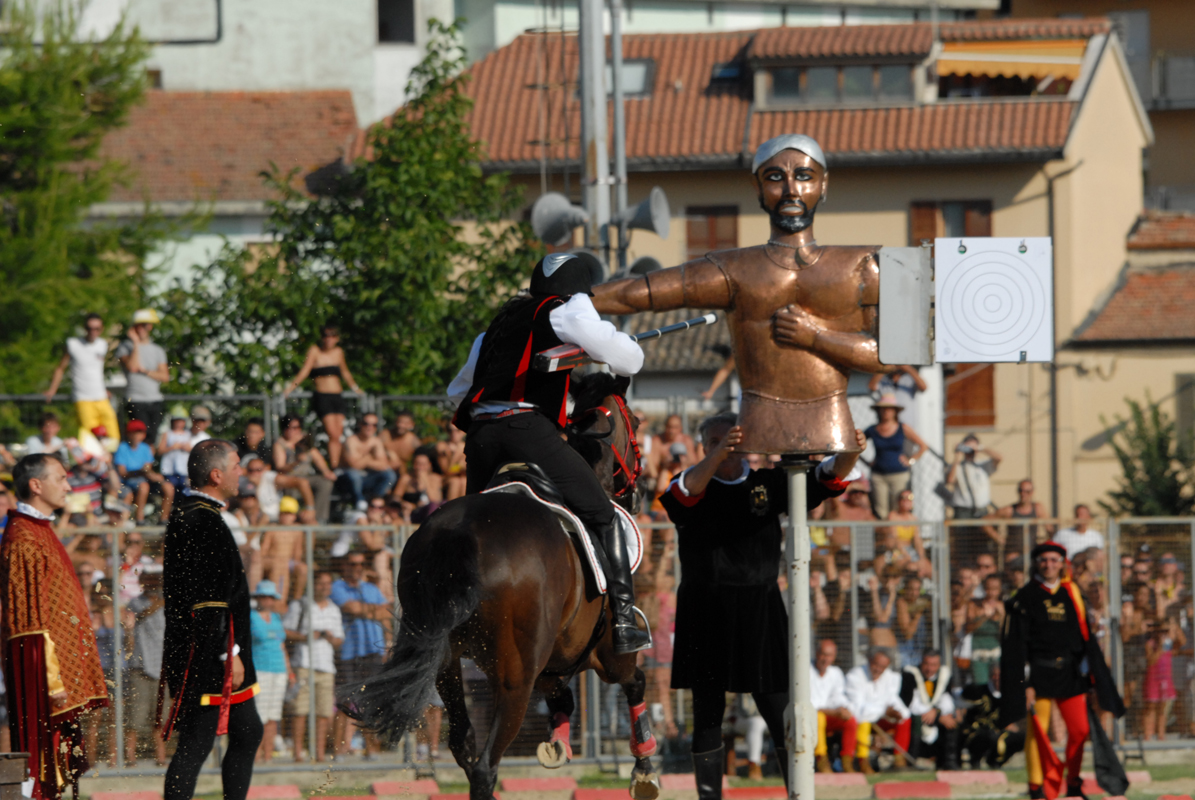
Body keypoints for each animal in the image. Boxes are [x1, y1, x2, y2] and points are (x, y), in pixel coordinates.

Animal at [346, 375, 659, 798]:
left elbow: (561, 693)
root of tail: (459, 534)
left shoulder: (553, 659)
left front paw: (558, 739)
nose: (639, 492)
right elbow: (636, 683)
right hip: (515, 678)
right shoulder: (606, 653)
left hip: (446, 665)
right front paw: (645, 769)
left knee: (464, 744)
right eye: (638, 422)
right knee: (485, 765)